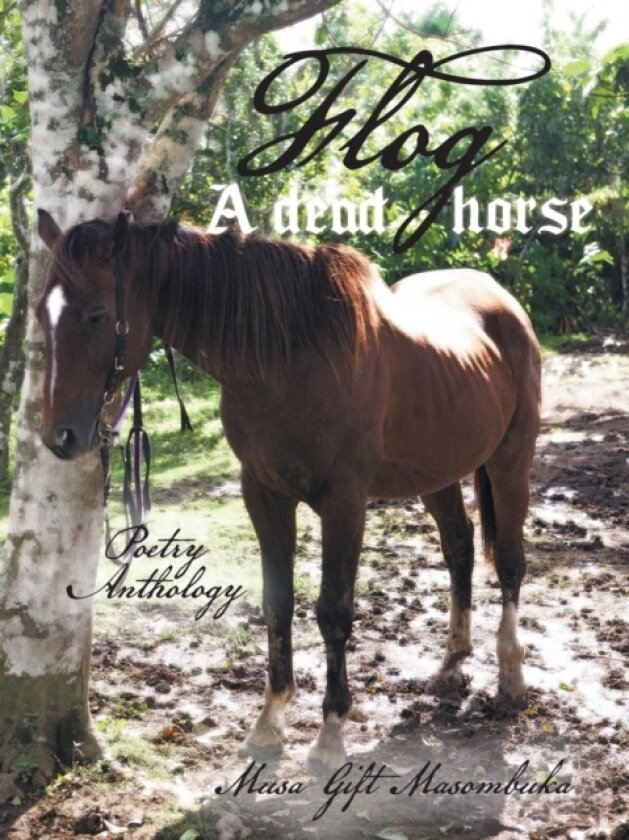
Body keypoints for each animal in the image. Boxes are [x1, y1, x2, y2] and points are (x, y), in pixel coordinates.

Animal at [36, 209, 541, 770]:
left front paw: (330, 734)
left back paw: (511, 675)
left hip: (510, 459)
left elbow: (334, 612)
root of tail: (502, 299)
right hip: (438, 473)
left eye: (97, 315)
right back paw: (452, 664)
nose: (60, 436)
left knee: (511, 561)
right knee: (459, 548)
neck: (288, 362)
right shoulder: (264, 493)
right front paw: (269, 722)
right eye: (40, 314)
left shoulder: (344, 503)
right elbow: (277, 602)